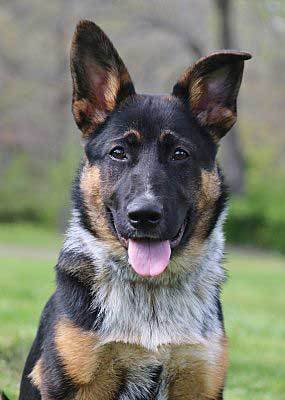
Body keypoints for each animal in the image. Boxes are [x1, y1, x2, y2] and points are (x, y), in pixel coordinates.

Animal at [18, 19, 250, 400]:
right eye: (118, 152)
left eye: (180, 154)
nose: (144, 216)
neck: (150, 291)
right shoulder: (71, 384)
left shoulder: (199, 379)